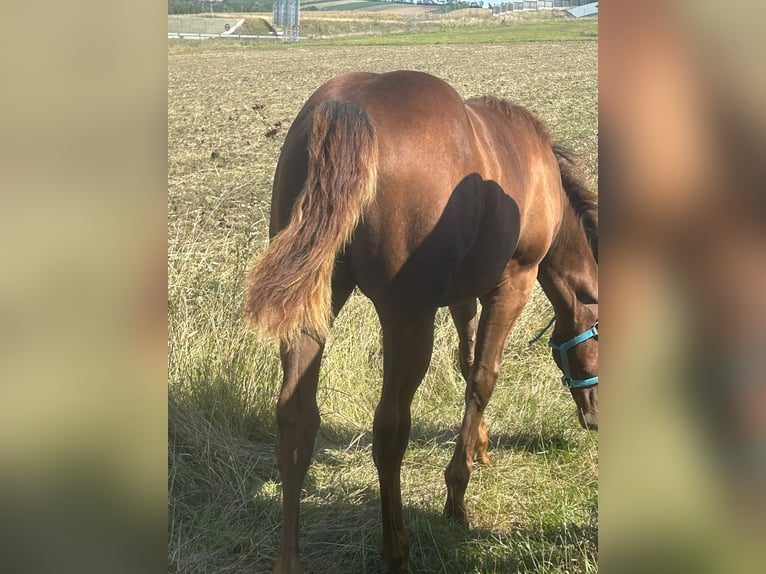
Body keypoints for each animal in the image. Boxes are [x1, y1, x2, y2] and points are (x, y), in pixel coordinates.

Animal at [244, 70, 598, 574]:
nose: (595, 418)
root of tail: (348, 108)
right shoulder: (513, 282)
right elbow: (483, 377)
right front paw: (457, 494)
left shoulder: (463, 295)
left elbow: (467, 362)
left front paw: (480, 445)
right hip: (407, 319)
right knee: (390, 430)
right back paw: (398, 550)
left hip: (314, 304)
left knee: (296, 421)